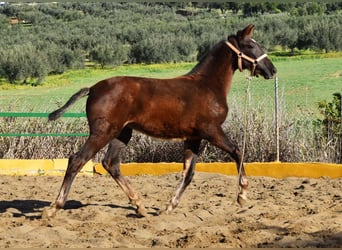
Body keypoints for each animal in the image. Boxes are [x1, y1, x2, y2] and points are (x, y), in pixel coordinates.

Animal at [42, 23, 276, 219]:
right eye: (250, 45)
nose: (271, 70)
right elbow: (237, 151)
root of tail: (92, 88)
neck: (207, 86)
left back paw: (139, 205)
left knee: (110, 163)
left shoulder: (193, 137)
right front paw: (242, 194)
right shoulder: (211, 131)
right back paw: (53, 208)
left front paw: (169, 206)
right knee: (77, 160)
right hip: (103, 132)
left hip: (122, 133)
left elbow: (189, 173)